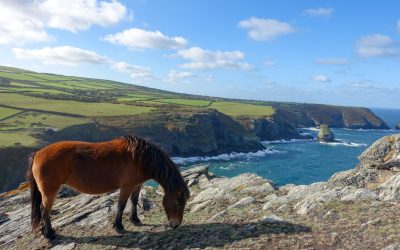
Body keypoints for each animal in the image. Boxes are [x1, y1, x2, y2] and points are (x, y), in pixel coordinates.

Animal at [25, 136, 191, 239]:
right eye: (178, 202)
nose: (176, 225)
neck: (140, 157)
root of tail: (38, 153)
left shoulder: (137, 184)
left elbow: (134, 201)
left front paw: (135, 219)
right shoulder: (127, 186)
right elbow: (121, 205)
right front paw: (119, 226)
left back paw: (46, 232)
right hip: (49, 191)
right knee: (44, 210)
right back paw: (50, 234)